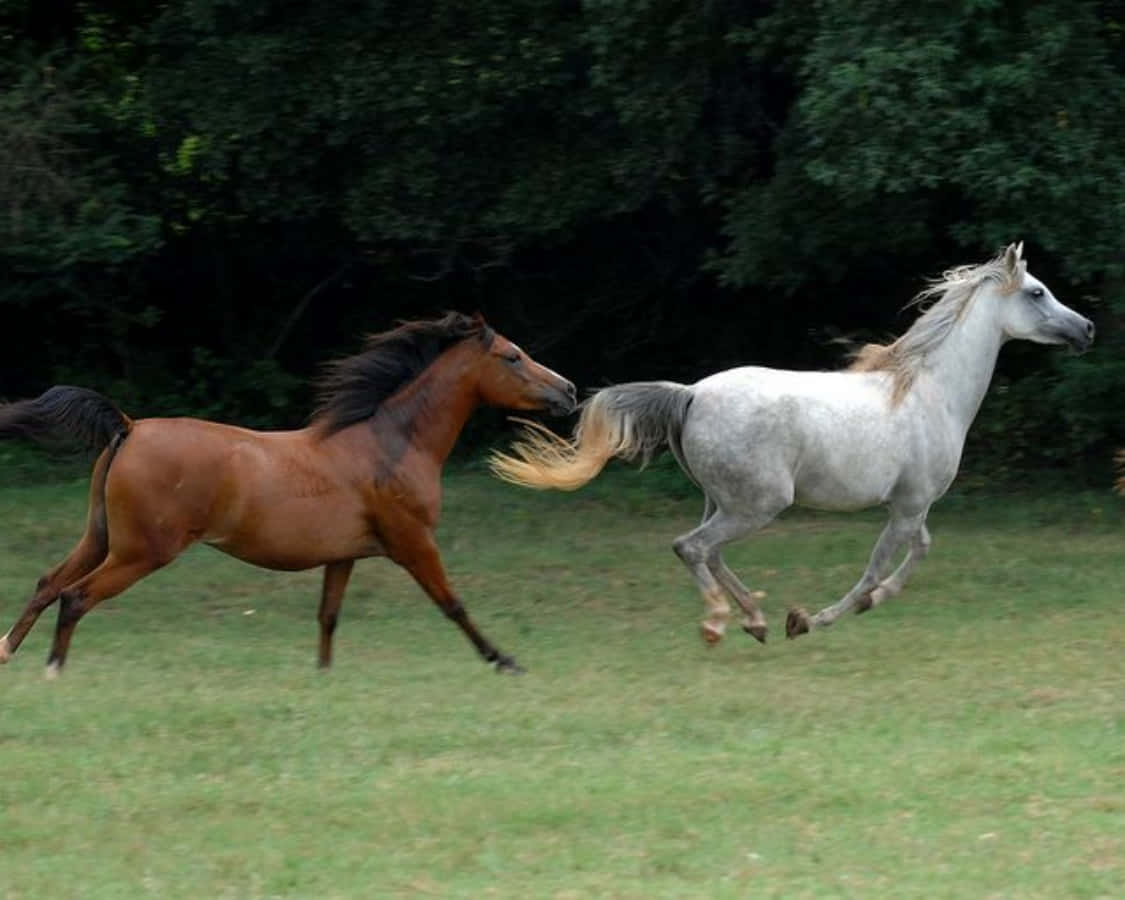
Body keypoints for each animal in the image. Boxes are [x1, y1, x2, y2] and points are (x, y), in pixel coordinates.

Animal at [0, 312, 576, 677]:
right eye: (512, 356)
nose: (568, 391)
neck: (389, 443)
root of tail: (129, 427)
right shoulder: (413, 542)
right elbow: (452, 603)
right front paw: (505, 661)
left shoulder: (344, 555)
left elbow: (328, 616)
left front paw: (322, 675)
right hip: (141, 551)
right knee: (75, 597)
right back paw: (54, 670)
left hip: (101, 538)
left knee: (48, 583)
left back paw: (8, 653)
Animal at [491, 244, 1094, 644]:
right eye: (1037, 292)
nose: (1086, 329)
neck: (930, 391)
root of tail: (690, 394)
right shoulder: (909, 505)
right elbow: (877, 565)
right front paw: (812, 619)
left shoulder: (911, 505)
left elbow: (918, 552)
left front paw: (865, 604)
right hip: (759, 503)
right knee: (693, 547)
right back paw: (722, 623)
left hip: (724, 500)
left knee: (709, 550)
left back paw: (754, 620)